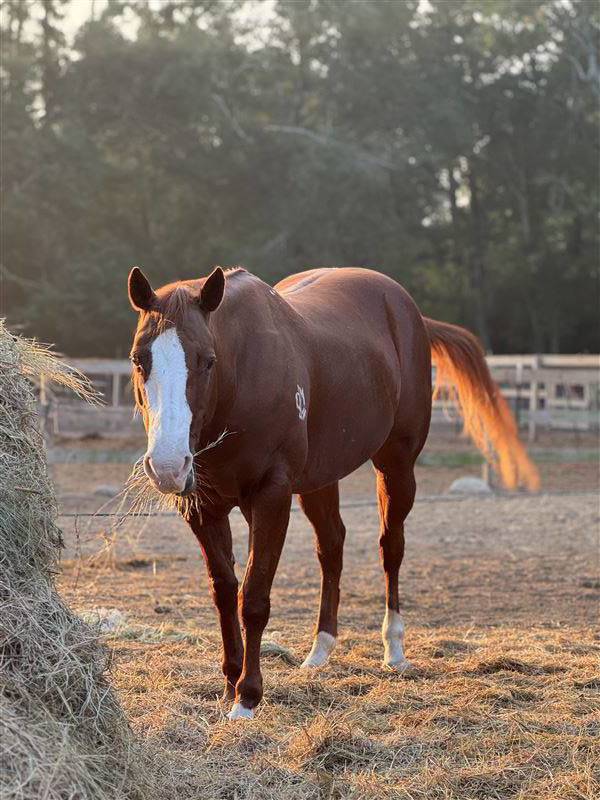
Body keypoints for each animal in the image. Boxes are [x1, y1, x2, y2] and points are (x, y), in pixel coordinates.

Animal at [127, 265, 538, 720]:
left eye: (208, 360)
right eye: (139, 359)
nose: (167, 465)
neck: (241, 383)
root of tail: (408, 310)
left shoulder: (271, 498)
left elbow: (253, 597)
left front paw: (247, 697)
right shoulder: (203, 507)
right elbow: (224, 593)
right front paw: (229, 684)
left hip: (396, 466)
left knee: (391, 547)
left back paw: (394, 649)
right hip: (320, 480)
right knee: (332, 546)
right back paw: (320, 649)